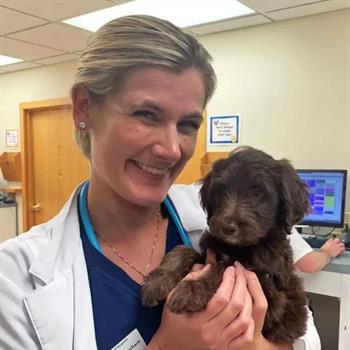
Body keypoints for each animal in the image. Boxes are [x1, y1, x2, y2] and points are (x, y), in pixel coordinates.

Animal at [141, 146, 310, 344]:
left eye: (258, 194)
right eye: (221, 191)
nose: (228, 228)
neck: (241, 247)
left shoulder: (271, 293)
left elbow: (225, 268)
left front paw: (192, 290)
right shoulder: (209, 251)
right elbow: (184, 250)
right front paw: (157, 282)